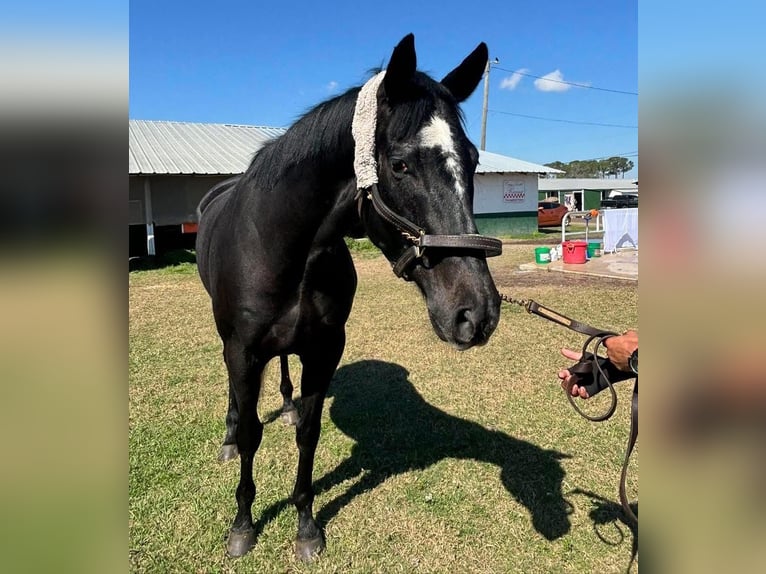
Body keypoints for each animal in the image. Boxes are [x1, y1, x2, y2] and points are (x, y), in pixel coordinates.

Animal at [195, 33, 500, 560]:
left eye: (474, 161)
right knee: (237, 400)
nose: (476, 313)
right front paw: (243, 525)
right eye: (400, 164)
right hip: (229, 344)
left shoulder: (323, 350)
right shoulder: (244, 350)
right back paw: (230, 435)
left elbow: (309, 434)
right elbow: (254, 433)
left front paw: (306, 527)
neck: (283, 245)